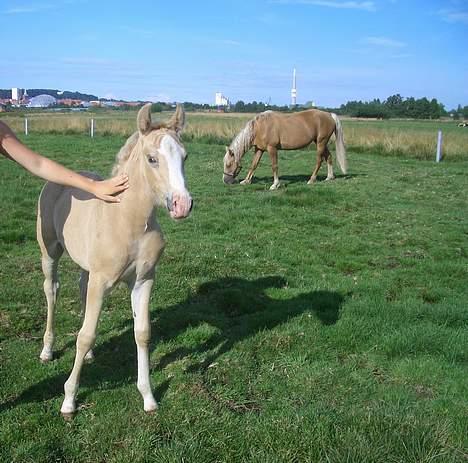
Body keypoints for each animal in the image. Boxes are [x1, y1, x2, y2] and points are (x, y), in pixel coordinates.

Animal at [36, 104, 194, 416]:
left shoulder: (144, 280)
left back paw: (90, 355)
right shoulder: (101, 281)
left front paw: (148, 396)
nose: (182, 205)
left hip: (88, 268)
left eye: (184, 157)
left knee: (81, 287)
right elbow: (85, 335)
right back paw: (47, 349)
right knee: (52, 290)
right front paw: (69, 400)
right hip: (50, 251)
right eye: (152, 159)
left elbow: (142, 332)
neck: (128, 221)